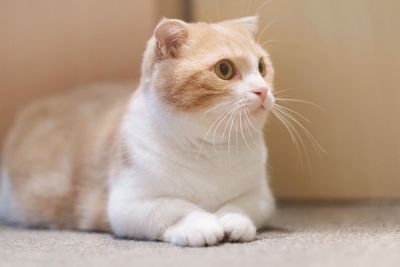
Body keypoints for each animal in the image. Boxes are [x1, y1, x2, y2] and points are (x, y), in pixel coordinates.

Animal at [0, 16, 276, 247]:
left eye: (261, 67)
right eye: (224, 69)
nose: (262, 90)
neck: (210, 150)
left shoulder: (261, 195)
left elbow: (243, 205)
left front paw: (232, 220)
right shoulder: (128, 204)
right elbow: (176, 206)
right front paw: (201, 225)